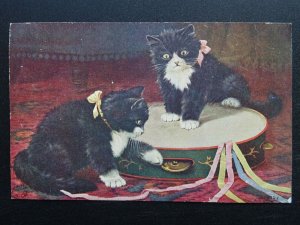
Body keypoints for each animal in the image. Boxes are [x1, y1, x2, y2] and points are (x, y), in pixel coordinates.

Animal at [14, 86, 163, 195]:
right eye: (139, 121)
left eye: (144, 122)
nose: (142, 131)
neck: (108, 125)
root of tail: (29, 152)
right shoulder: (95, 142)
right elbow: (103, 160)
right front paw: (114, 178)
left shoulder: (122, 142)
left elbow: (134, 147)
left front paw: (154, 155)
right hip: (57, 149)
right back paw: (67, 184)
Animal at [146, 23, 282, 129]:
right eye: (165, 56)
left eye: (183, 52)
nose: (176, 62)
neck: (181, 73)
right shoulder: (167, 83)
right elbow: (171, 98)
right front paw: (172, 114)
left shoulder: (199, 83)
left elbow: (192, 101)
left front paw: (189, 121)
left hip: (232, 80)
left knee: (243, 98)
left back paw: (231, 100)